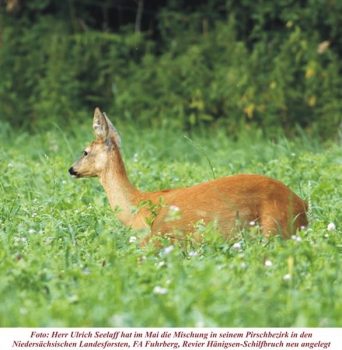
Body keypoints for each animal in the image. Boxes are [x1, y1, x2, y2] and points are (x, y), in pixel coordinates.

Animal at [68, 106, 308, 243]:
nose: (71, 169)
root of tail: (302, 204)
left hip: (275, 228)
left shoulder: (150, 242)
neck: (135, 206)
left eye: (85, 151)